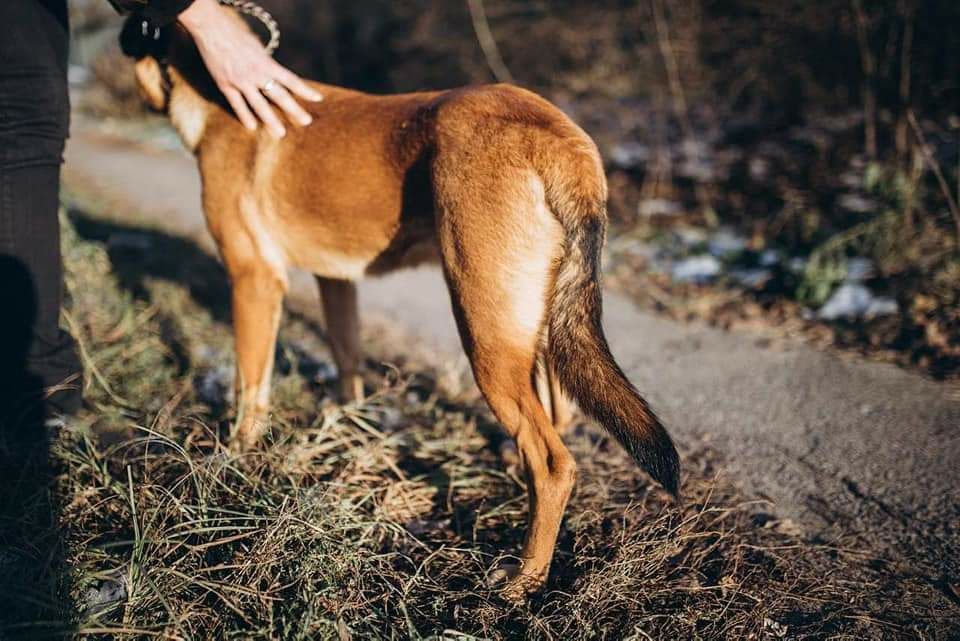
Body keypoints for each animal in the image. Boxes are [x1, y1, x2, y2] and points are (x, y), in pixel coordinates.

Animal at [124, 17, 680, 596]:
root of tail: (559, 137)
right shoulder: (336, 280)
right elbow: (346, 353)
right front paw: (346, 422)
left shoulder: (254, 280)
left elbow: (250, 388)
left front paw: (235, 457)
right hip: (539, 323)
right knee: (556, 418)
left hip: (484, 330)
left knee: (552, 463)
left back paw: (524, 578)